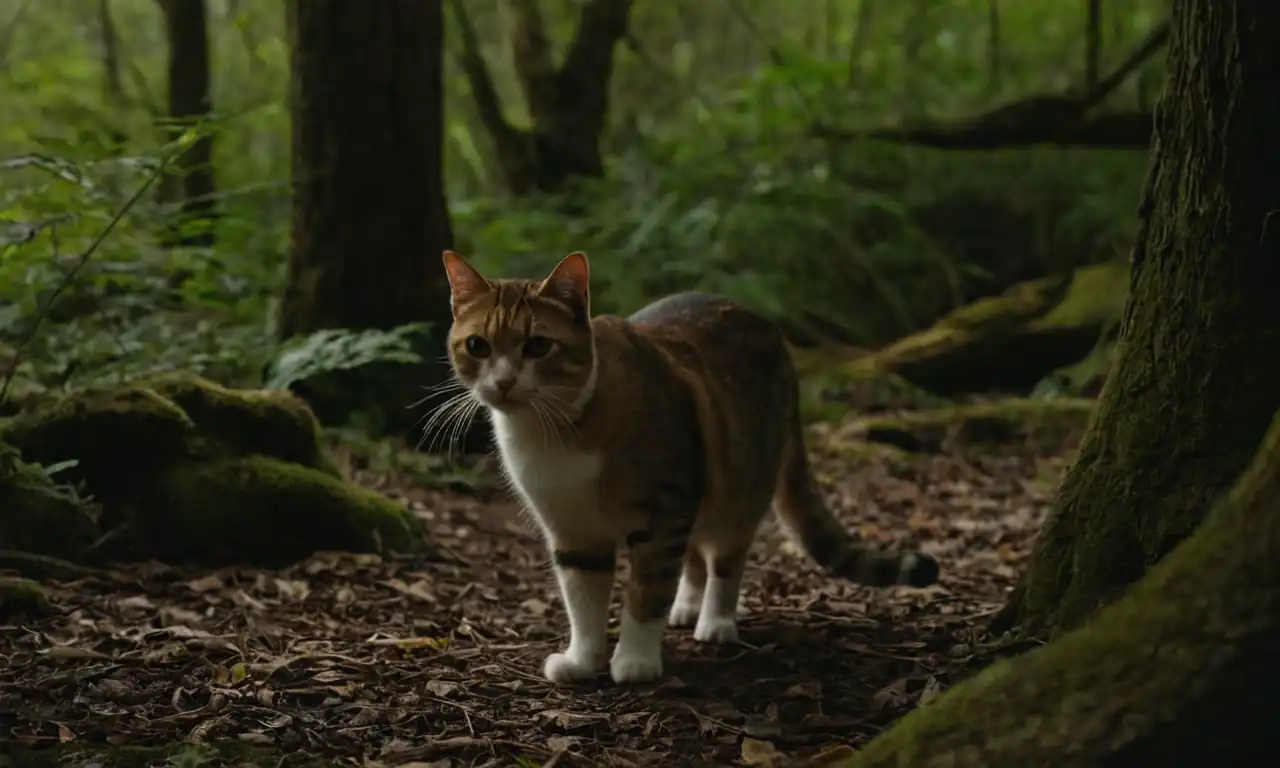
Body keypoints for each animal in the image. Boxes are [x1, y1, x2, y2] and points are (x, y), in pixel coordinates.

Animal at [440, 250, 942, 686]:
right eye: (478, 346)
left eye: (539, 345)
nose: (504, 382)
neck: (556, 431)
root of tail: (770, 327)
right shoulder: (571, 529)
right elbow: (582, 602)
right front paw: (582, 659)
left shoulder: (666, 505)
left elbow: (647, 589)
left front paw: (636, 659)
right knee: (696, 555)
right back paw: (686, 605)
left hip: (740, 486)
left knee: (725, 558)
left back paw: (715, 620)